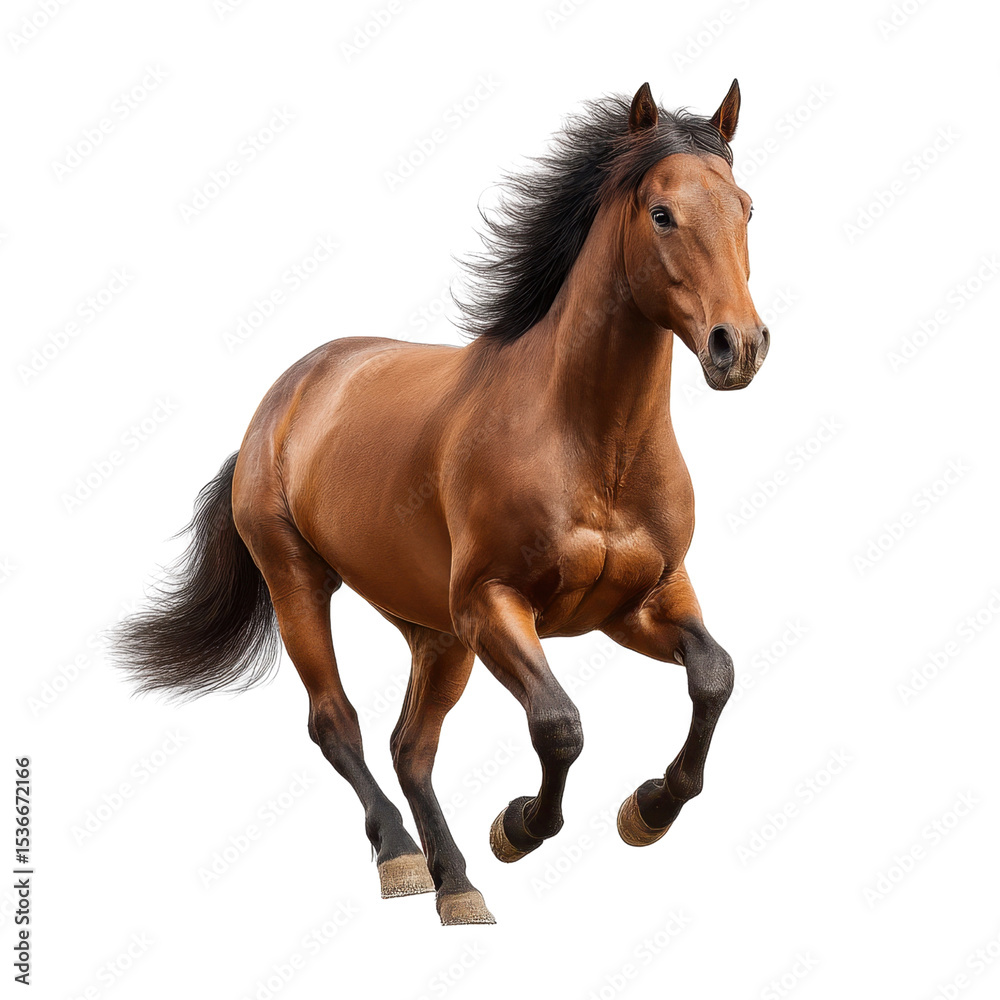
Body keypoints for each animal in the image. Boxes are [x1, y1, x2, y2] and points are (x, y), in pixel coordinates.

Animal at [114, 80, 769, 926]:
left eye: (746, 208)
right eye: (661, 214)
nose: (738, 346)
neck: (594, 445)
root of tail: (284, 399)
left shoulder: (641, 603)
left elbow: (715, 675)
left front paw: (648, 809)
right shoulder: (493, 604)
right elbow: (559, 725)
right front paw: (519, 827)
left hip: (433, 632)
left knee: (410, 746)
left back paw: (456, 883)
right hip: (302, 584)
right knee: (340, 724)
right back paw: (402, 859)